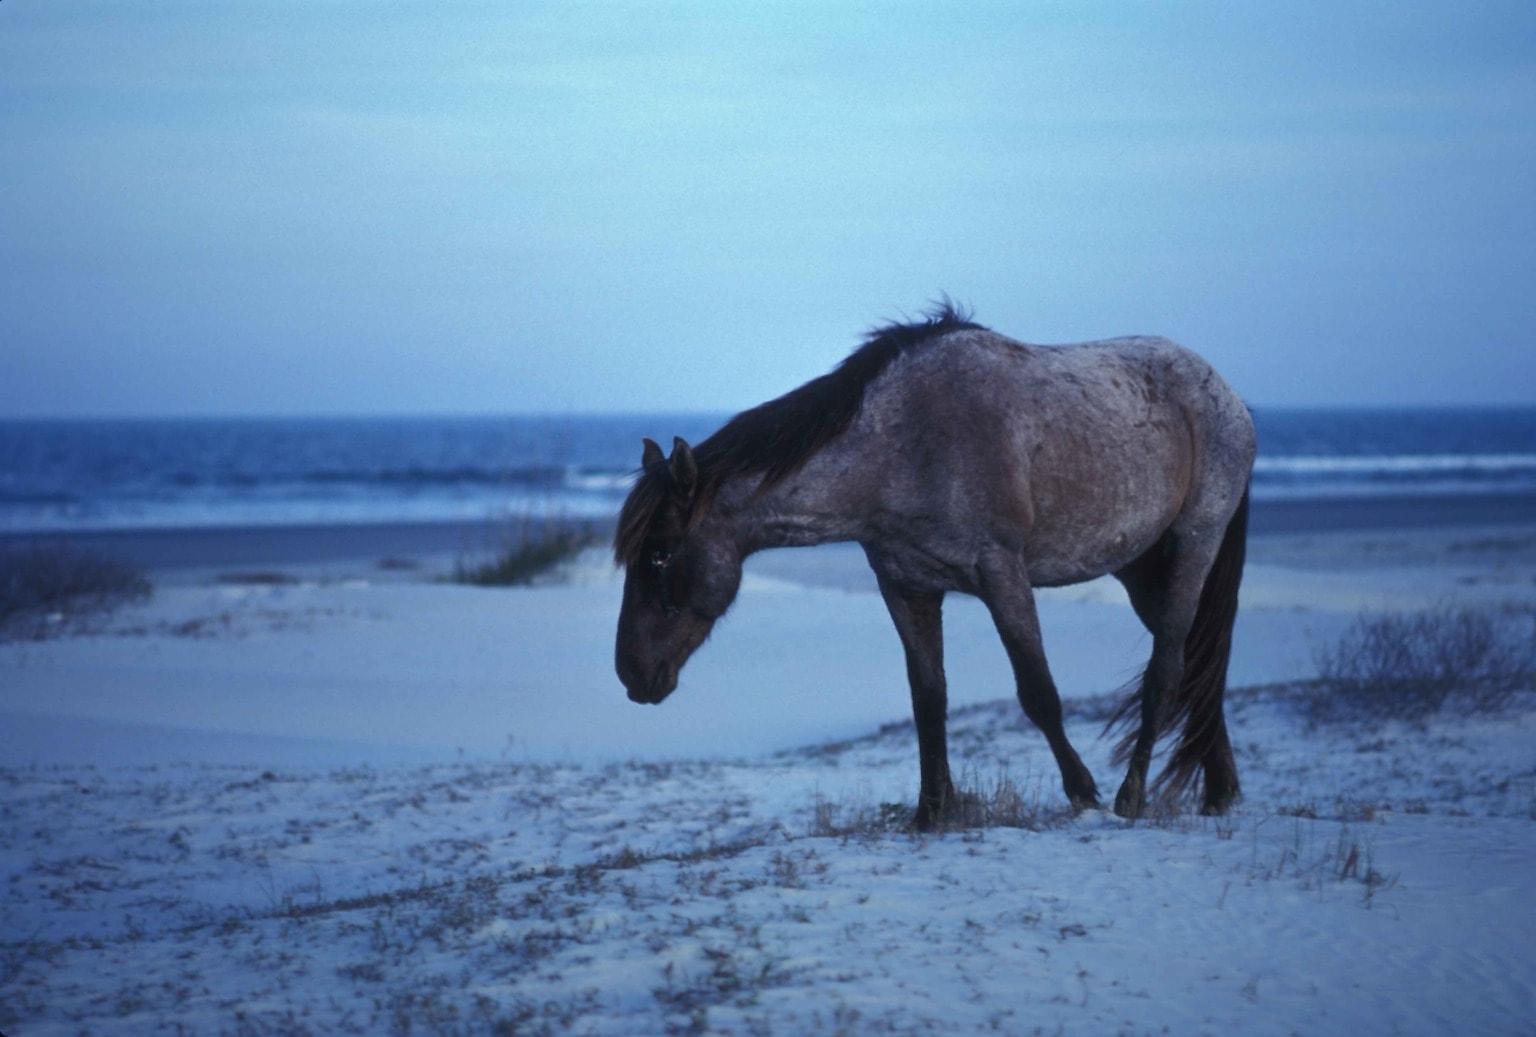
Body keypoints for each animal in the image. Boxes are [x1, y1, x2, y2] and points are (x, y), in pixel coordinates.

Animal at [617, 302, 1253, 829]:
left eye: (659, 553)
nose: (632, 675)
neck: (900, 444)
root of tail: (1229, 397)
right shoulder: (906, 588)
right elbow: (928, 698)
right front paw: (931, 812)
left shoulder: (1001, 574)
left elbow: (1037, 692)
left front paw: (1083, 793)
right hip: (1142, 569)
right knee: (1196, 663)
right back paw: (1220, 792)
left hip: (1193, 543)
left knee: (1169, 666)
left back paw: (1132, 796)